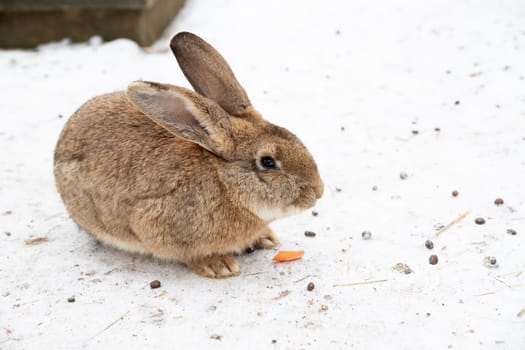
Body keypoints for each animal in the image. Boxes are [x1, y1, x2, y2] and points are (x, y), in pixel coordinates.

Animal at [54, 32, 324, 278]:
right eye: (267, 162)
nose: (318, 191)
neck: (225, 185)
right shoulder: (155, 225)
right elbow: (189, 254)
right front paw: (219, 265)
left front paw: (265, 239)